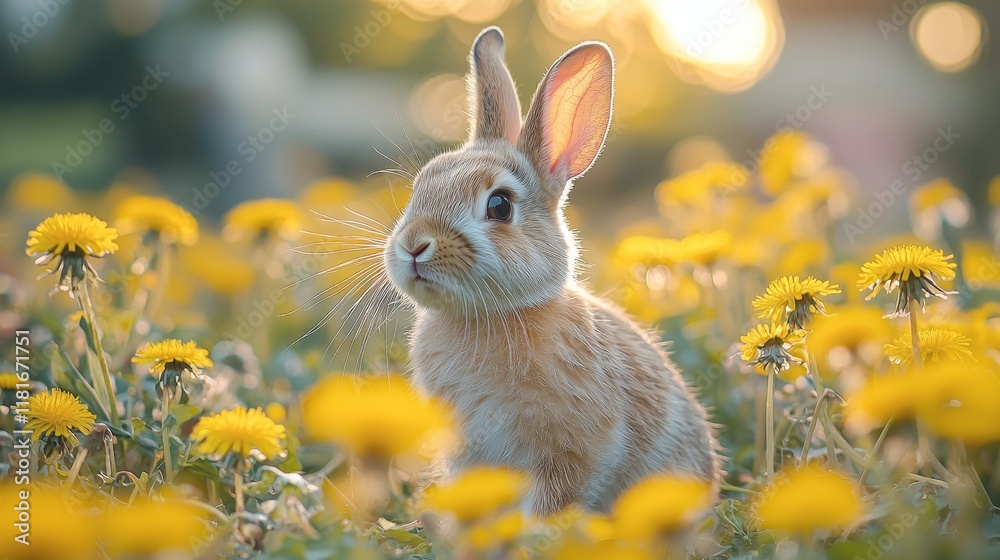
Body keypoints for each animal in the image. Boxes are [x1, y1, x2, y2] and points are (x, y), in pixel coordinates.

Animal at [383, 26, 720, 515]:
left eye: (499, 205)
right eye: (420, 186)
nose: (413, 246)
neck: (490, 316)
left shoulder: (572, 452)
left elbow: (553, 501)